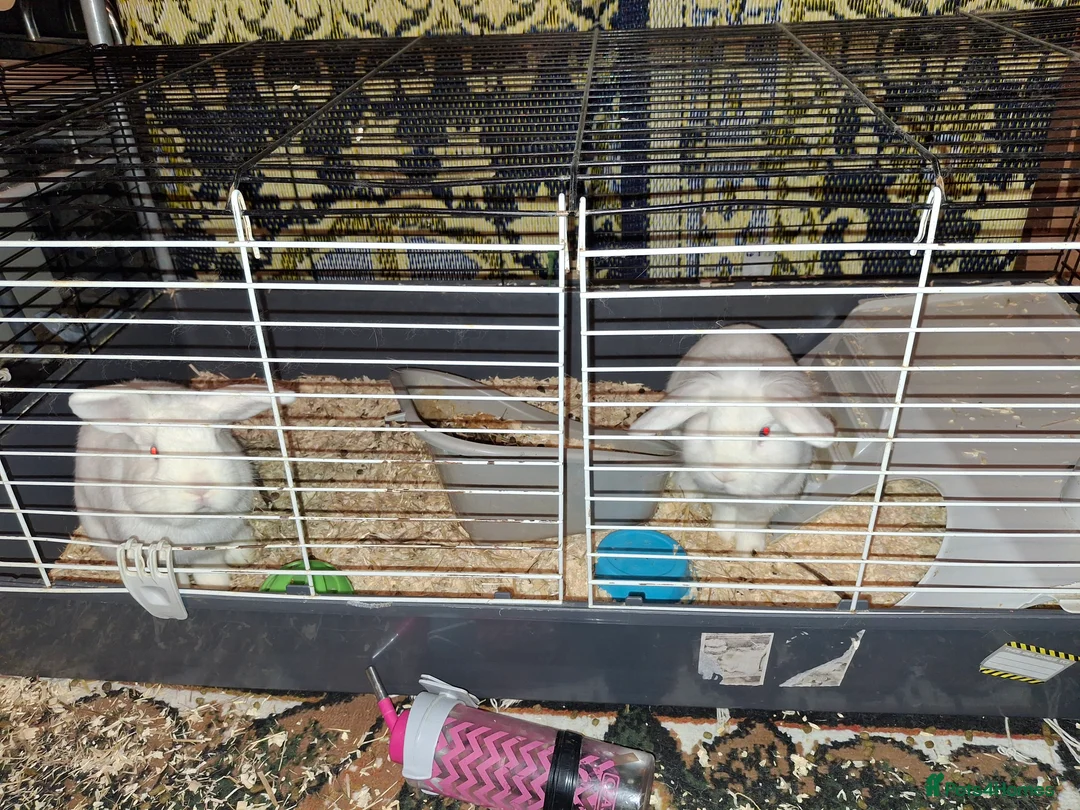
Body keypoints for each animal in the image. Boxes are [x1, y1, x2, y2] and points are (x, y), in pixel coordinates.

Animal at [68, 381, 296, 588]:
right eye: (153, 451)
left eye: (217, 438)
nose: (200, 488)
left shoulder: (208, 553)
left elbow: (211, 573)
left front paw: (217, 588)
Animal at [630, 324, 835, 555]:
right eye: (708, 426)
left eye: (764, 432)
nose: (723, 476)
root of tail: (741, 326)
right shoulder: (718, 496)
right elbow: (724, 514)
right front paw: (724, 535)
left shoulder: (767, 503)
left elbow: (751, 524)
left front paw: (749, 549)